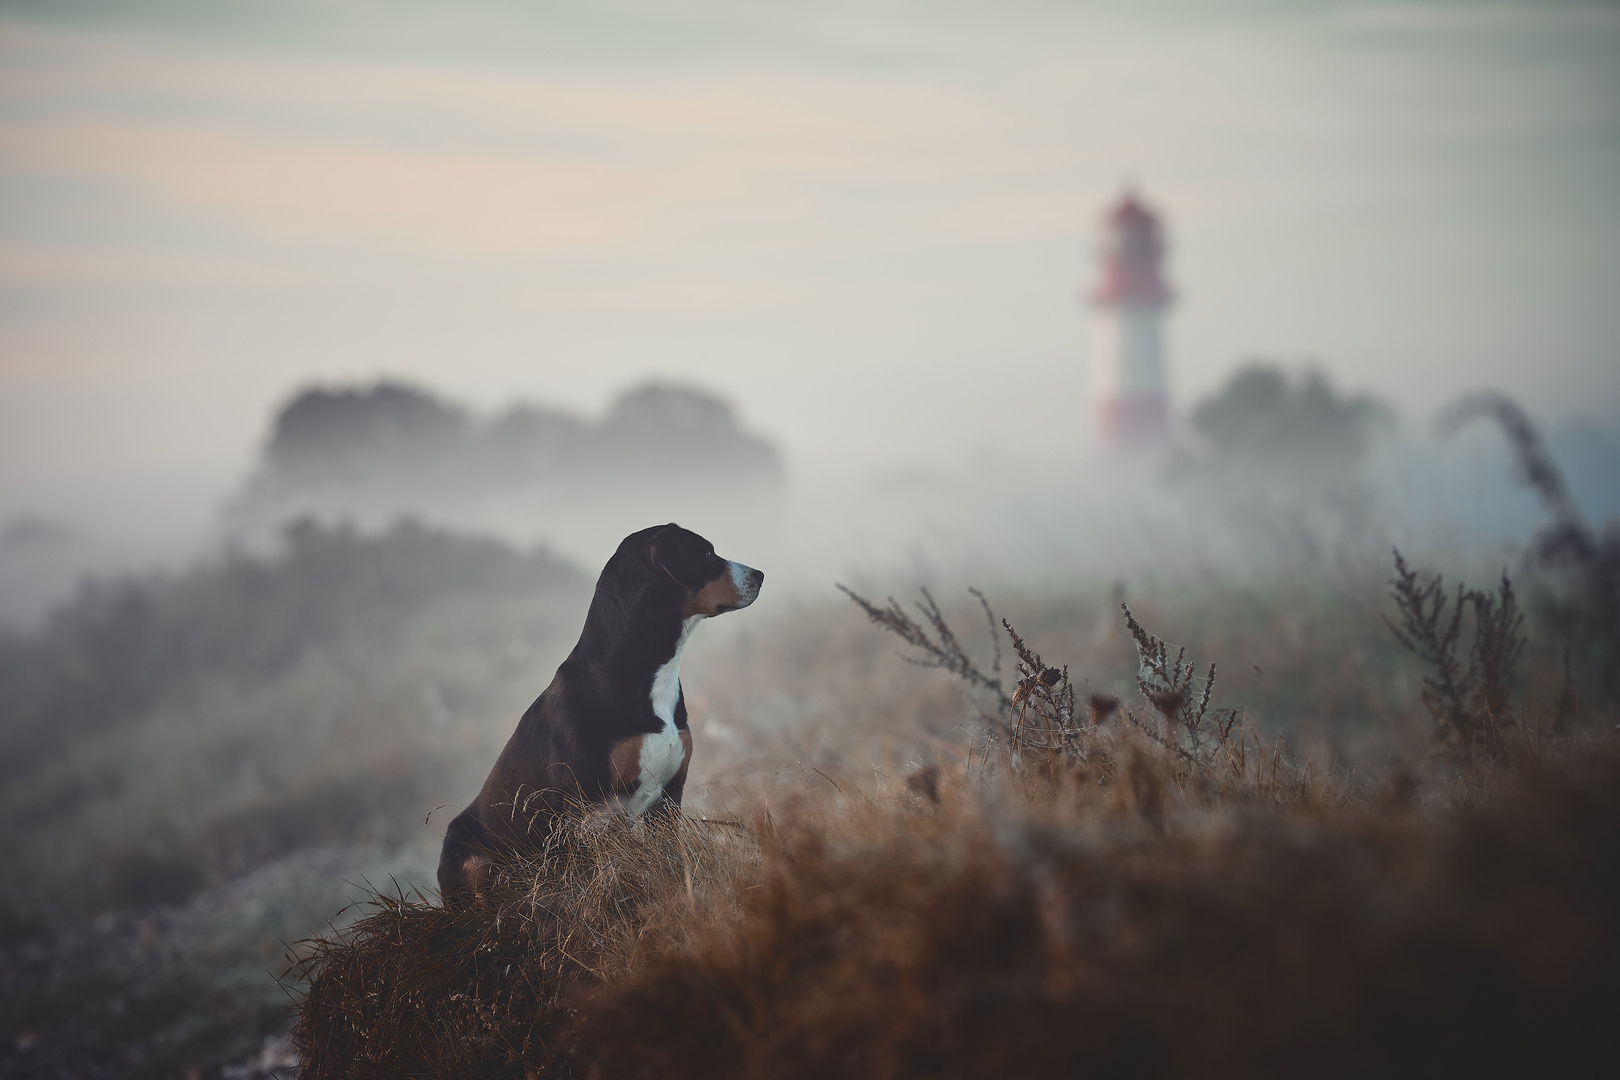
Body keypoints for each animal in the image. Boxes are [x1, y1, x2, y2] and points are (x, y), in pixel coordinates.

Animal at [437, 524, 764, 906]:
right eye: (708, 554)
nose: (760, 575)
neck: (646, 672)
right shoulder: (590, 813)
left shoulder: (668, 797)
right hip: (471, 853)